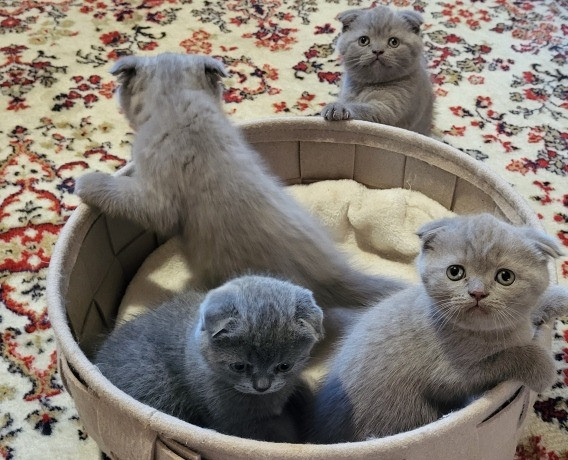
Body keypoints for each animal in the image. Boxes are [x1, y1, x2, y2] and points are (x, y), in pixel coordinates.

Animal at [310, 214, 564, 444]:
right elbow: (506, 356)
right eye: (455, 272)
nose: (477, 293)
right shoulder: (451, 373)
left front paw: (558, 296)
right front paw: (542, 367)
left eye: (505, 276)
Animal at [322, 6, 432, 135]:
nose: (377, 51)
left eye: (394, 42)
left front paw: (338, 108)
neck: (368, 84)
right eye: (363, 40)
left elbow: (365, 110)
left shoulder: (390, 107)